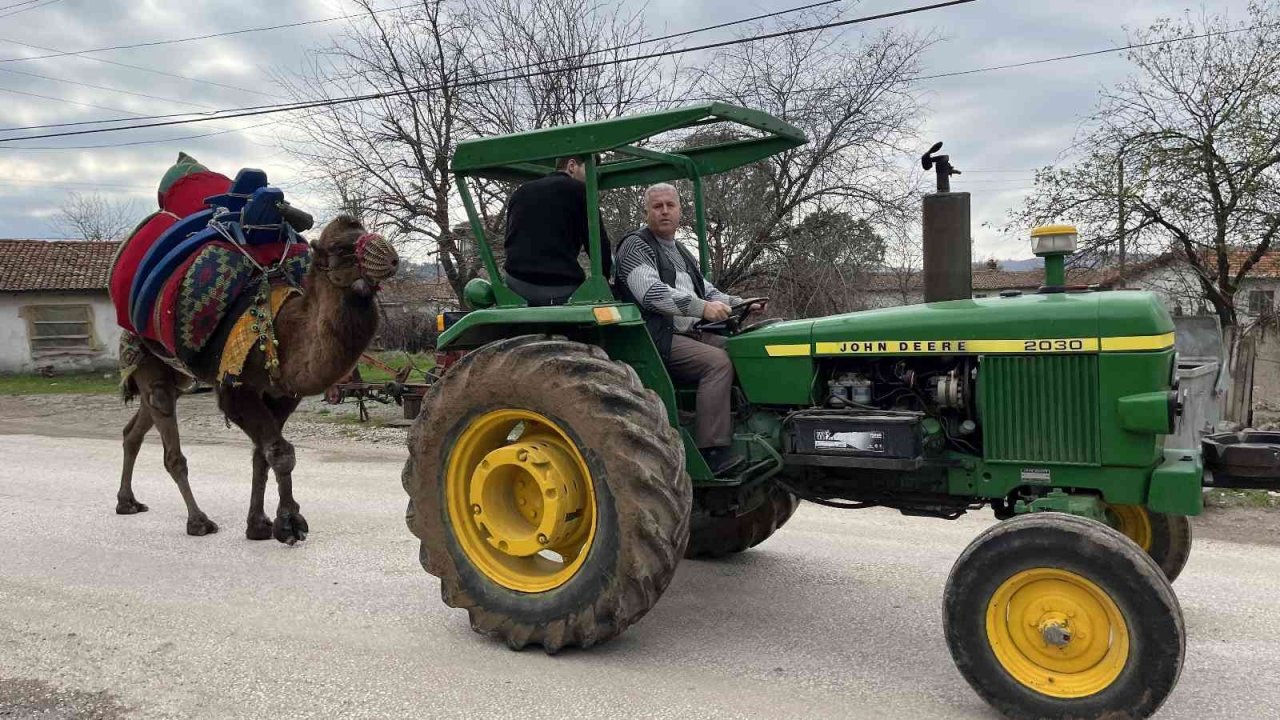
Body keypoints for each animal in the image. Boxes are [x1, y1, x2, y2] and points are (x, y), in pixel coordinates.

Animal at [113, 215, 396, 540]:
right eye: (339, 247)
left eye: (364, 232)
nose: (391, 257)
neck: (284, 333)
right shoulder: (235, 389)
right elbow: (280, 452)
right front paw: (289, 523)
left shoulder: (282, 394)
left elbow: (263, 455)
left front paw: (259, 525)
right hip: (147, 359)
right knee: (170, 444)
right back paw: (198, 521)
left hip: (177, 377)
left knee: (134, 429)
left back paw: (127, 502)